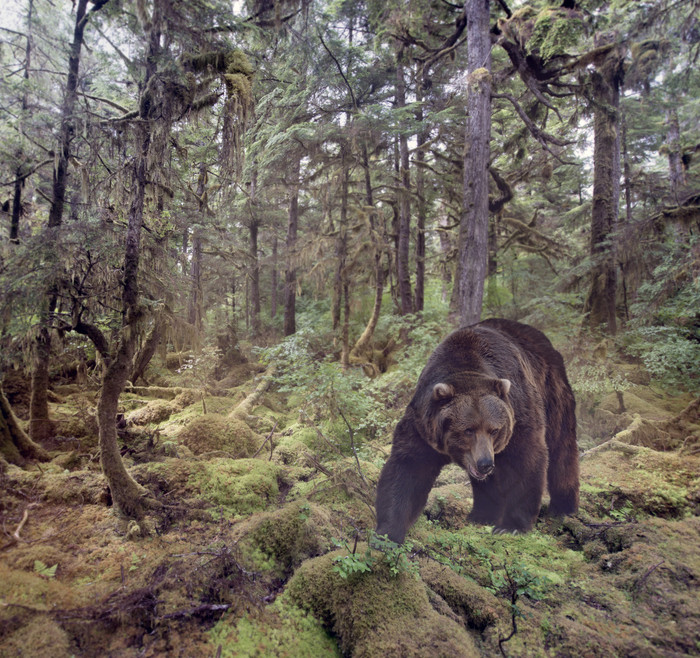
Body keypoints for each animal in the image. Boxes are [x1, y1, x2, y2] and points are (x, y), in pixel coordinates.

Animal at [378, 316, 580, 540]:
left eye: (495, 430)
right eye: (468, 430)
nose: (485, 464)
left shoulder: (518, 411)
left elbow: (525, 458)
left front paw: (511, 526)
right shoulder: (424, 425)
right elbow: (408, 467)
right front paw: (388, 533)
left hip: (552, 391)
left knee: (561, 447)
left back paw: (563, 508)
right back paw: (481, 515)